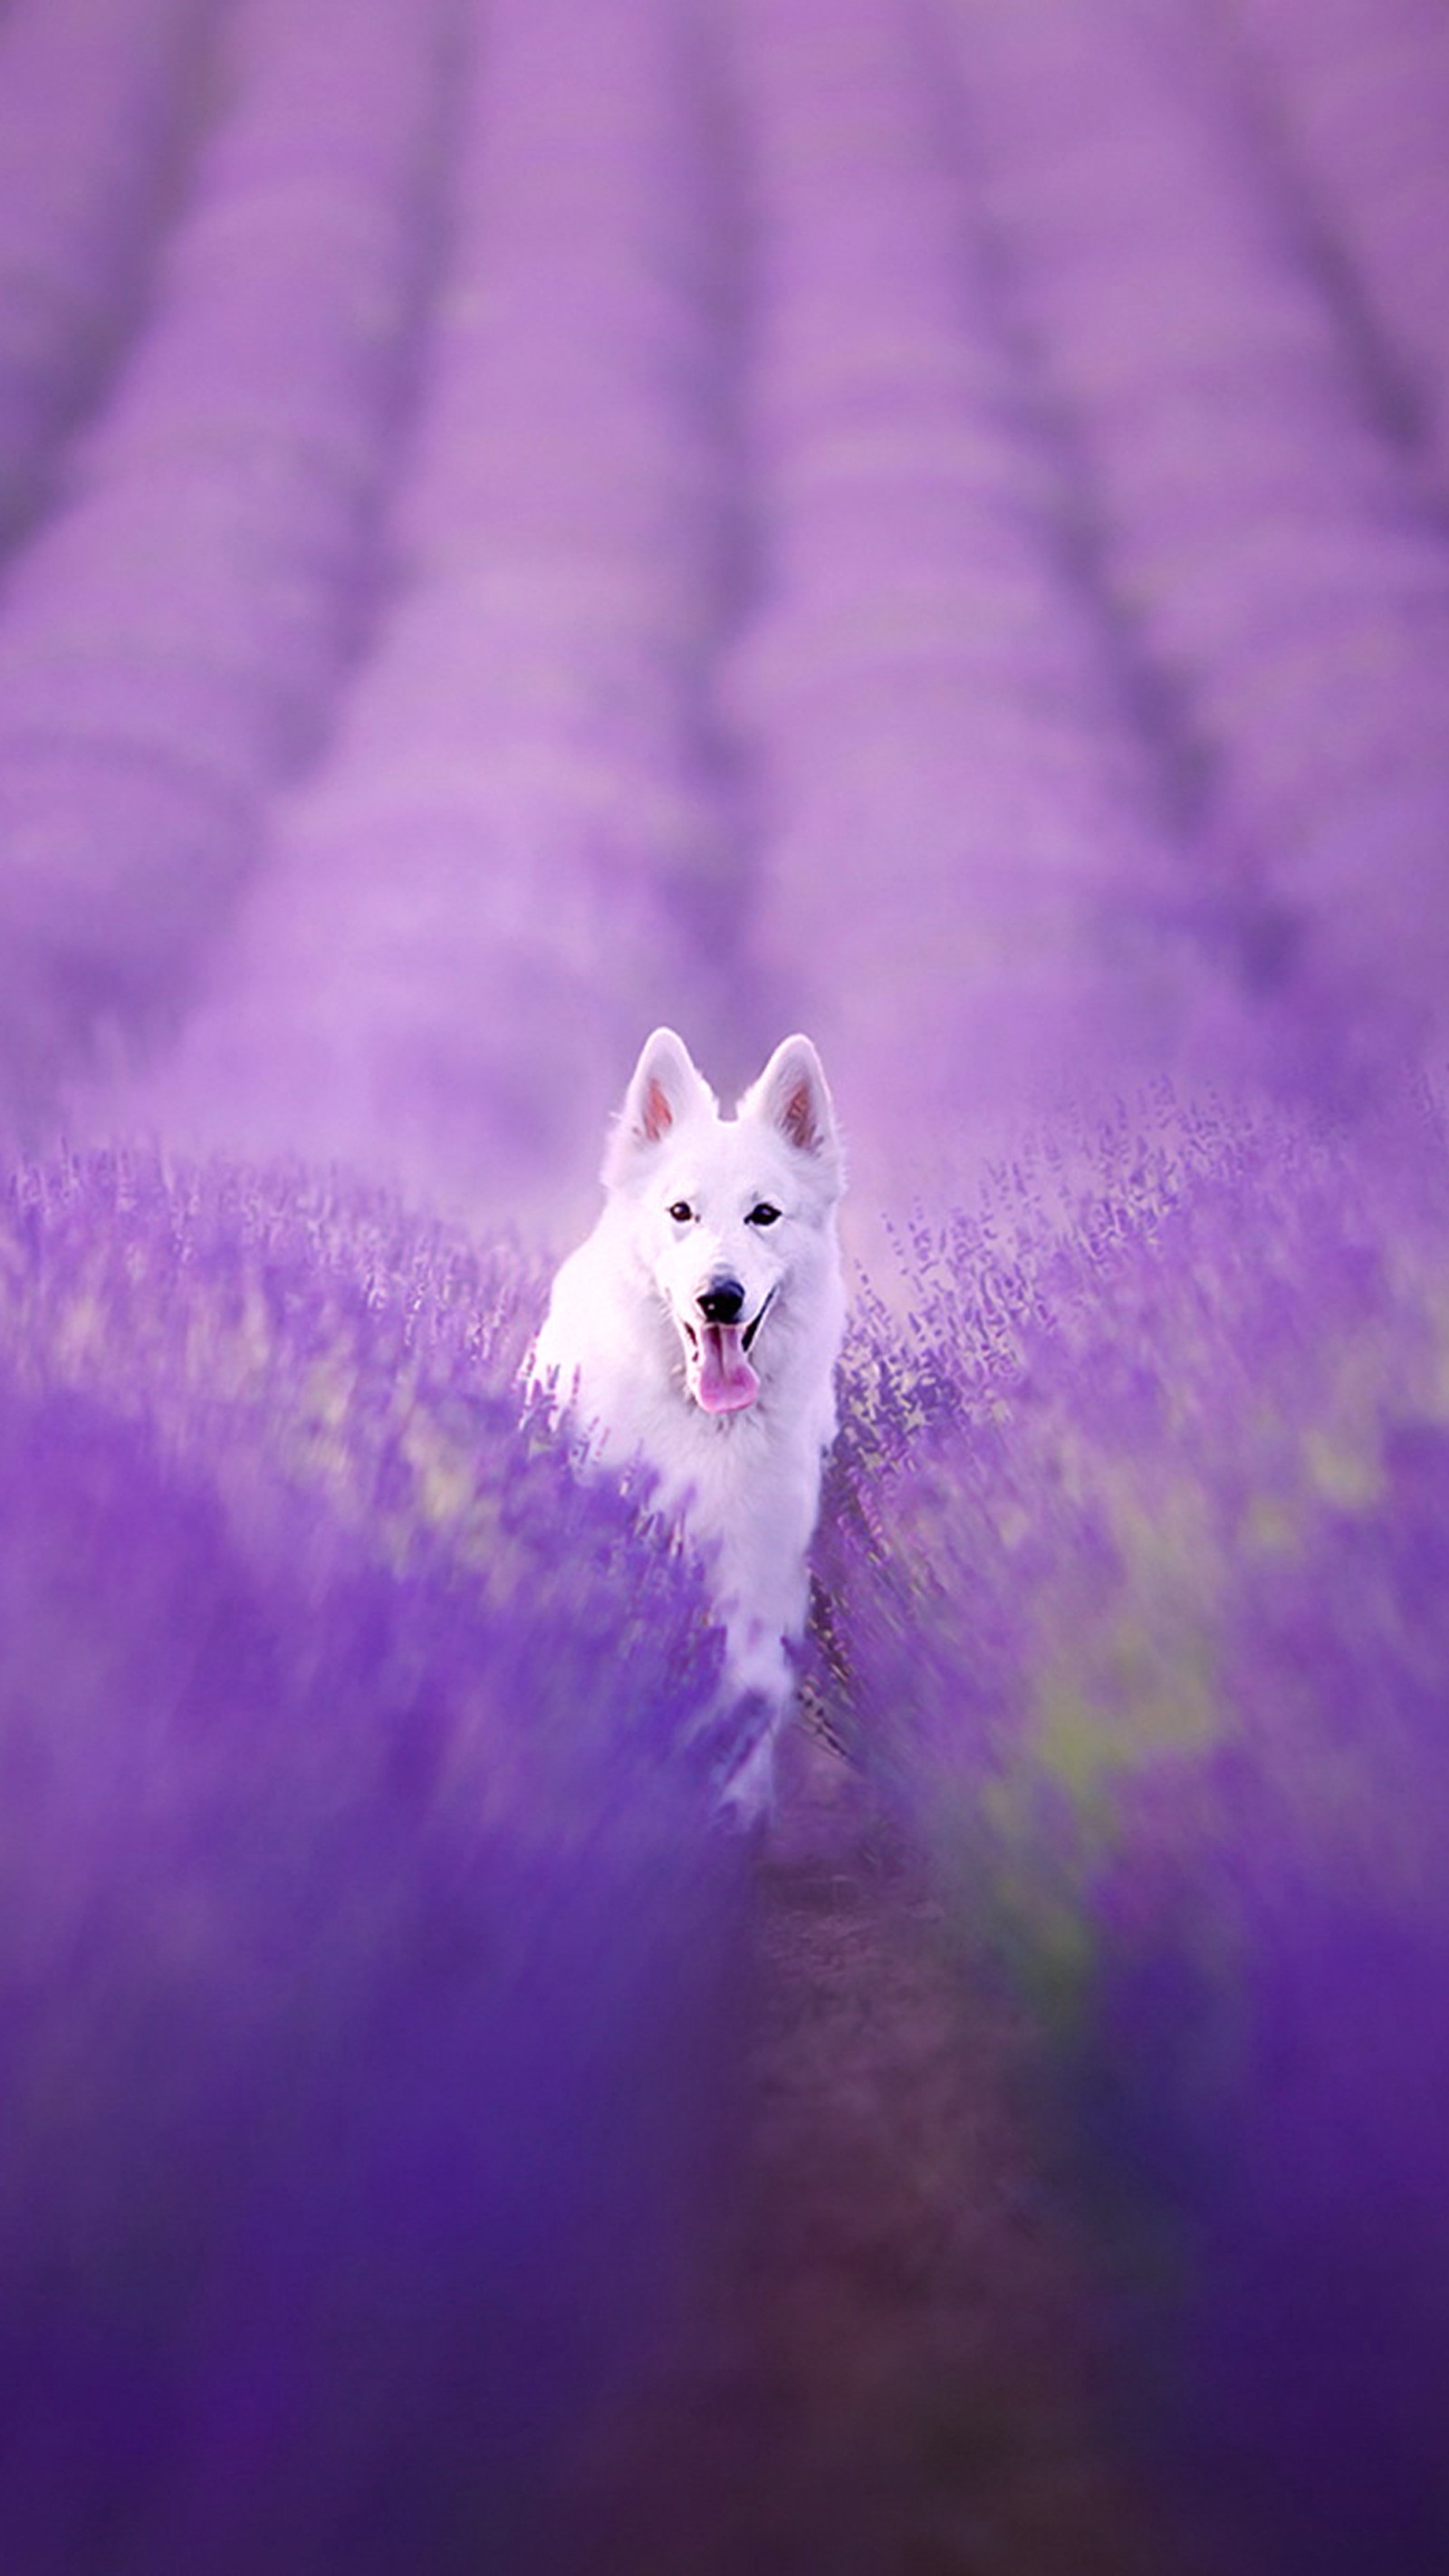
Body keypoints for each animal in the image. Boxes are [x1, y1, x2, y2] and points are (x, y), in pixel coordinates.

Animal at [530, 1024, 849, 1813]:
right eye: (682, 1213)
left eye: (764, 1214)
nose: (719, 1298)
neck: (702, 1424)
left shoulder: (755, 1568)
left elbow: (743, 1693)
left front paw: (734, 1806)